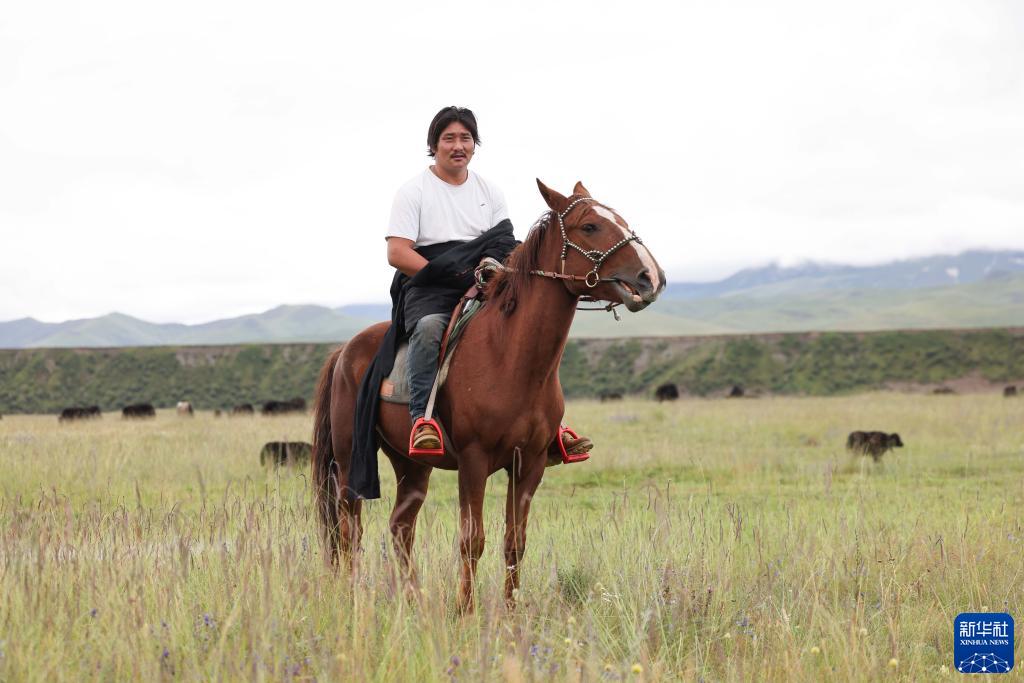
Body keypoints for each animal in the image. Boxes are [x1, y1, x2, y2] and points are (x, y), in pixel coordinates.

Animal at [311, 180, 665, 612]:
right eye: (590, 226)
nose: (651, 277)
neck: (510, 357)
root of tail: (343, 351)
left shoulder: (530, 464)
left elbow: (515, 543)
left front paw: (511, 613)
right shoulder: (473, 461)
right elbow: (472, 540)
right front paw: (465, 610)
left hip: (412, 463)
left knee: (400, 526)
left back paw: (413, 600)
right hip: (350, 460)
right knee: (349, 528)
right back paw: (353, 597)